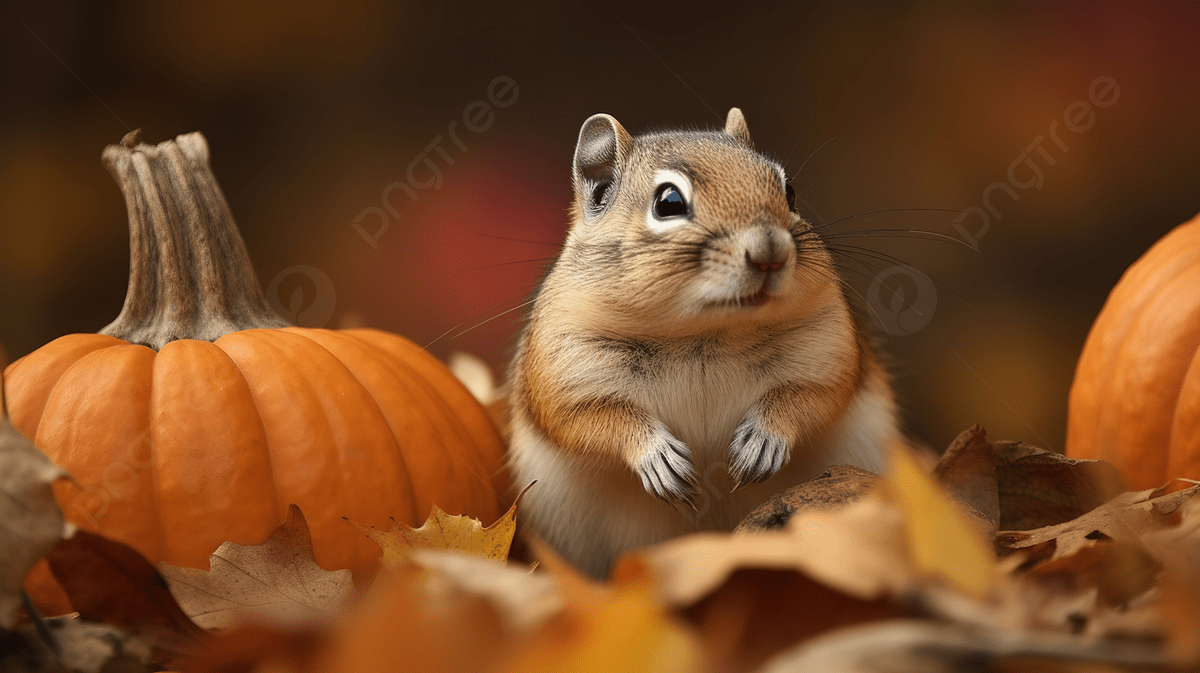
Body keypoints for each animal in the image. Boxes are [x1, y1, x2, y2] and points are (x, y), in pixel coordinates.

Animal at [504, 108, 903, 578]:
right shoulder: (563, 363)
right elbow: (589, 418)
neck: (704, 334)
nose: (769, 251)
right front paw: (656, 456)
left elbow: (812, 397)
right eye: (669, 203)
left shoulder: (827, 345)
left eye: (789, 192)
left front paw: (764, 440)